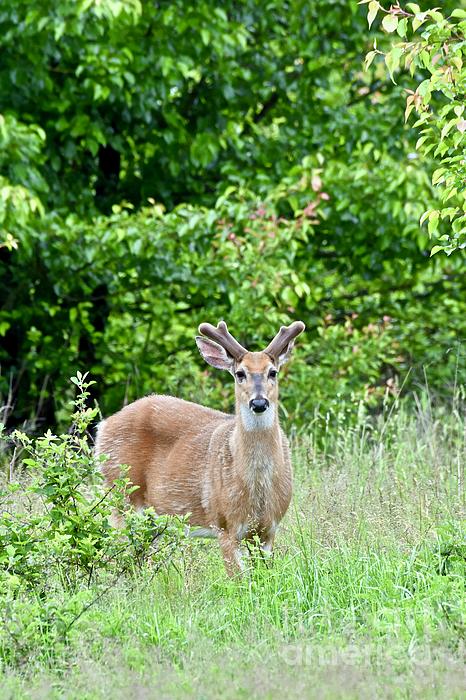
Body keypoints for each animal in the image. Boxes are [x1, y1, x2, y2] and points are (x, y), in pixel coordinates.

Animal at [94, 320, 306, 576]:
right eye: (240, 373)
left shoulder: (269, 529)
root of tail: (103, 426)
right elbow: (238, 580)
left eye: (272, 372)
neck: (257, 489)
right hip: (120, 492)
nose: (258, 402)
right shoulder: (224, 524)